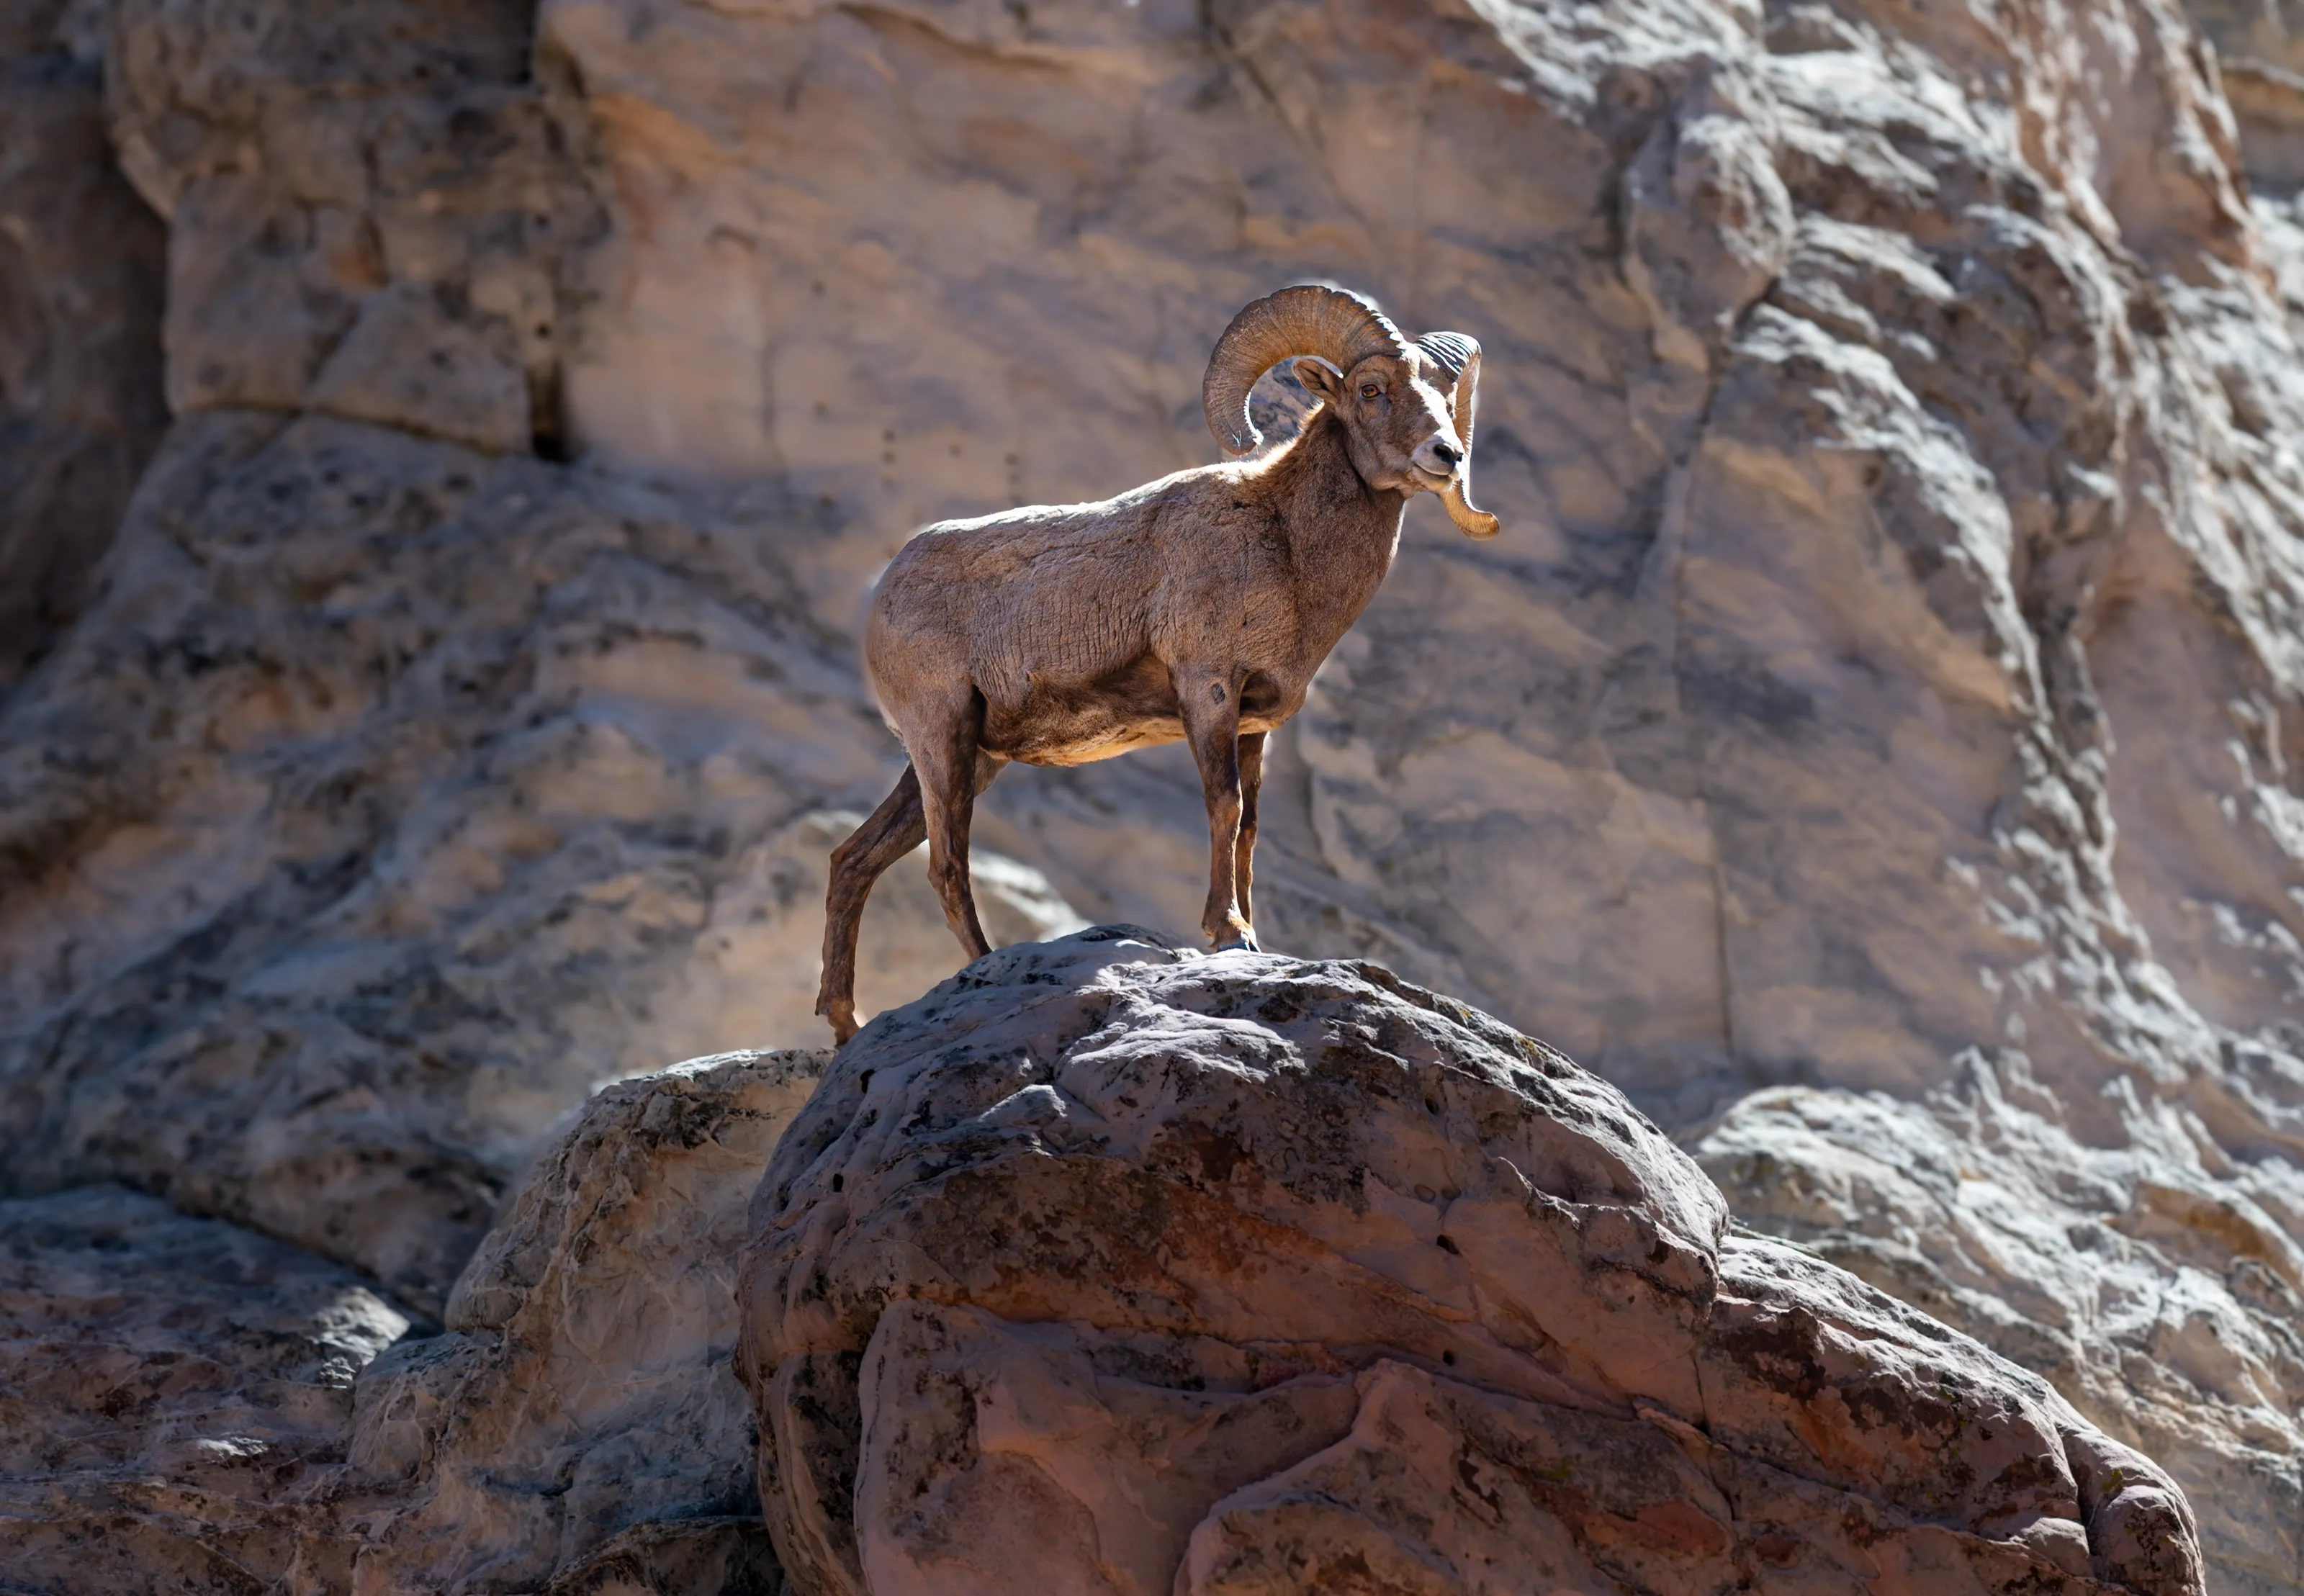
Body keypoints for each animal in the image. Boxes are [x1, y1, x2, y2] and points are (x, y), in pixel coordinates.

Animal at [816, 283, 1501, 1042]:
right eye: (1372, 388)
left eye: (1444, 396)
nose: (1447, 455)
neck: (1287, 549)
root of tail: (884, 589)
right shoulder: (1208, 690)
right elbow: (1223, 804)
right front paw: (1228, 932)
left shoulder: (1256, 725)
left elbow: (1249, 831)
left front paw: (1254, 933)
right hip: (943, 739)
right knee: (946, 867)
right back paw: (980, 966)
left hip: (963, 758)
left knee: (854, 860)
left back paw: (846, 1025)